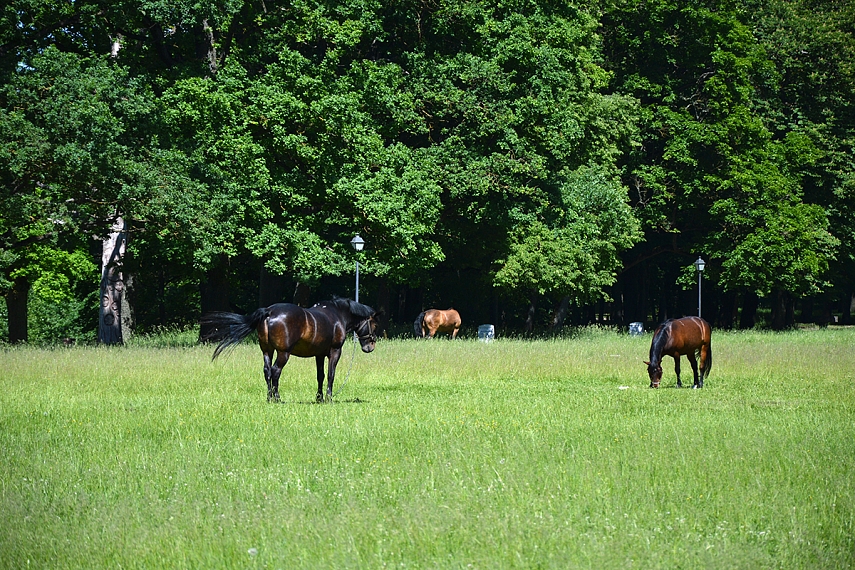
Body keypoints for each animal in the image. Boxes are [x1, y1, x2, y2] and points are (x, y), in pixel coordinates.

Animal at [202, 296, 380, 402]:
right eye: (374, 325)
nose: (370, 346)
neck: (337, 315)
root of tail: (269, 311)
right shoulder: (334, 352)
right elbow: (331, 375)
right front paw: (328, 398)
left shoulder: (319, 355)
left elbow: (320, 376)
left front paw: (319, 398)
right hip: (283, 353)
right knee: (275, 371)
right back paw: (277, 398)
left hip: (267, 351)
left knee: (267, 371)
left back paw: (269, 398)